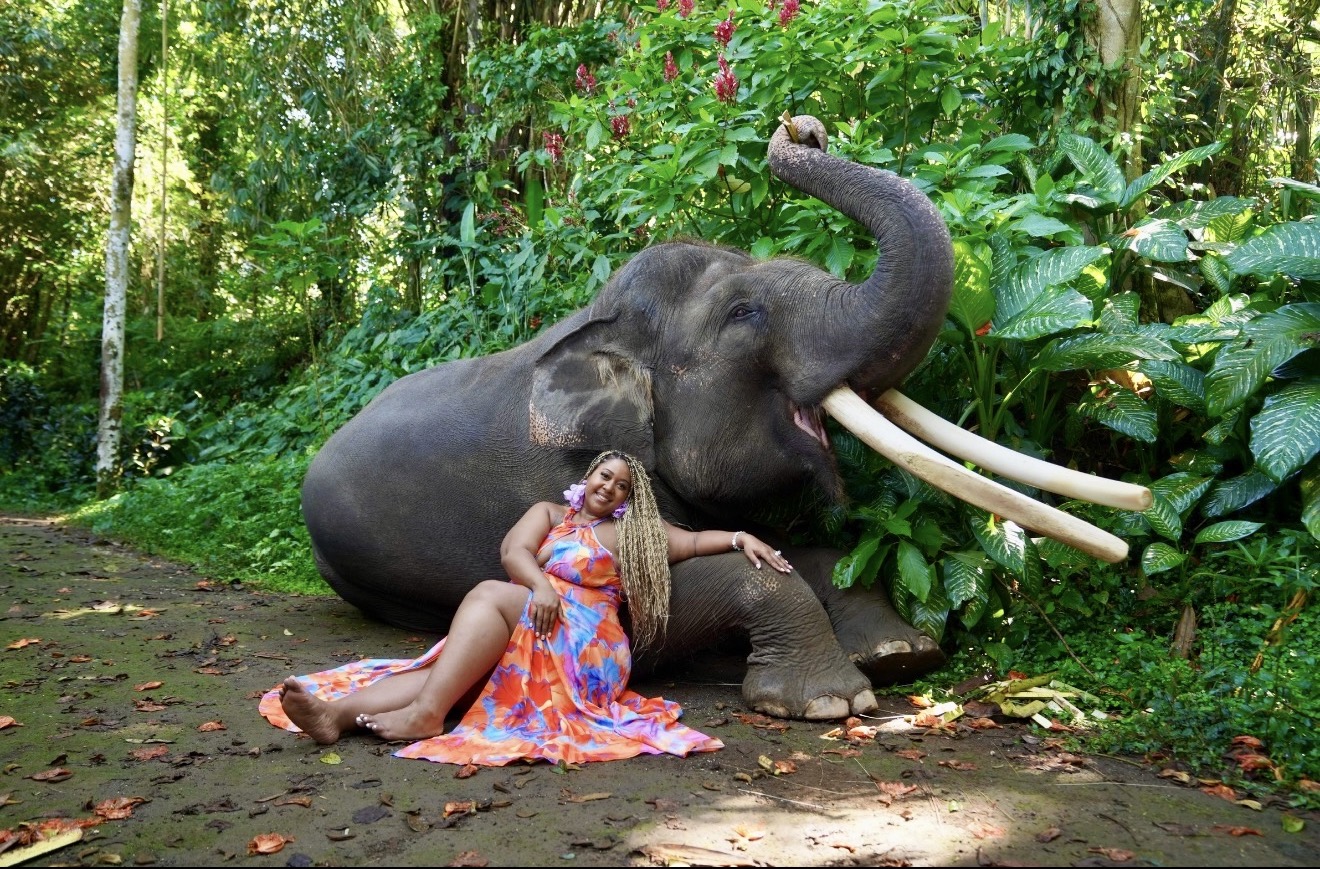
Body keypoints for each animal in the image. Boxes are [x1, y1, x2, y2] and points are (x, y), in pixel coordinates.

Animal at [301, 115, 960, 721]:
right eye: (743, 313)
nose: (803, 129)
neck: (599, 325)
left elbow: (780, 546)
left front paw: (902, 652)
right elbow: (665, 600)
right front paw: (830, 699)